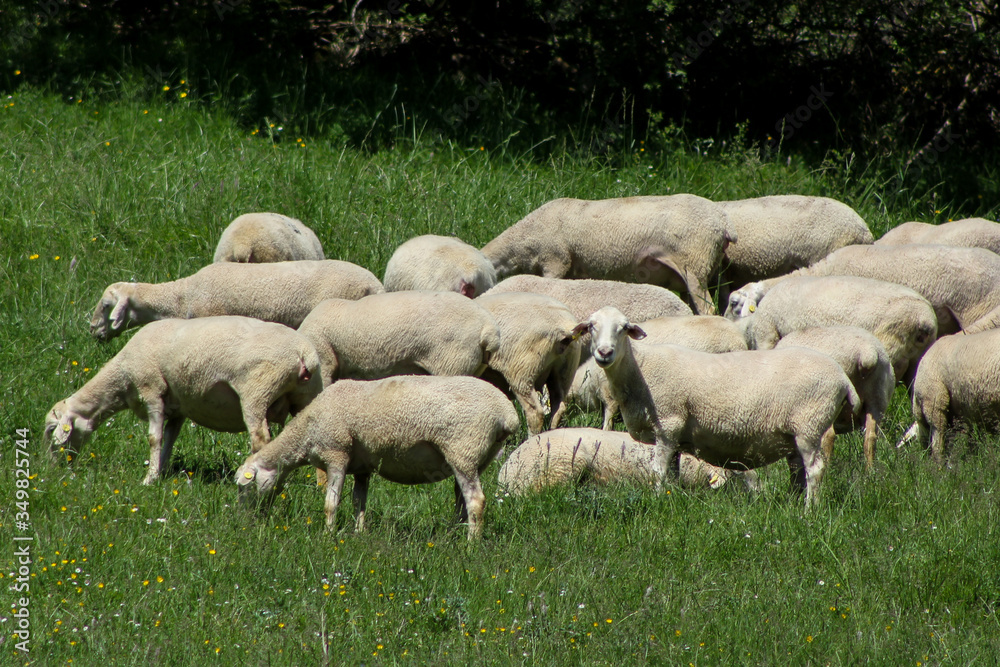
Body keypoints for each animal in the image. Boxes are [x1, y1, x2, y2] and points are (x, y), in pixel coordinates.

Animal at [44, 316, 323, 485]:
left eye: (51, 430)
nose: (52, 469)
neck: (122, 377)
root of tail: (304, 354)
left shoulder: (151, 390)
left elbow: (154, 438)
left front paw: (149, 479)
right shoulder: (178, 409)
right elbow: (169, 439)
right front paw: (161, 471)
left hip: (257, 391)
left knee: (260, 439)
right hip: (307, 396)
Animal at [235, 376, 520, 539]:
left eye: (242, 487)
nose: (243, 521)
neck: (306, 430)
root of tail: (507, 413)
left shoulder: (336, 452)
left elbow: (331, 503)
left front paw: (327, 535)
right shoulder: (362, 466)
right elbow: (359, 501)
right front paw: (359, 533)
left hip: (463, 449)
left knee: (476, 501)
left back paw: (471, 545)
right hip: (477, 457)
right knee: (462, 501)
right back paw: (457, 535)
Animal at [774, 326, 895, 468]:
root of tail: (867, 352)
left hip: (827, 402)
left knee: (829, 436)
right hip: (877, 398)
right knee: (870, 438)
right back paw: (870, 470)